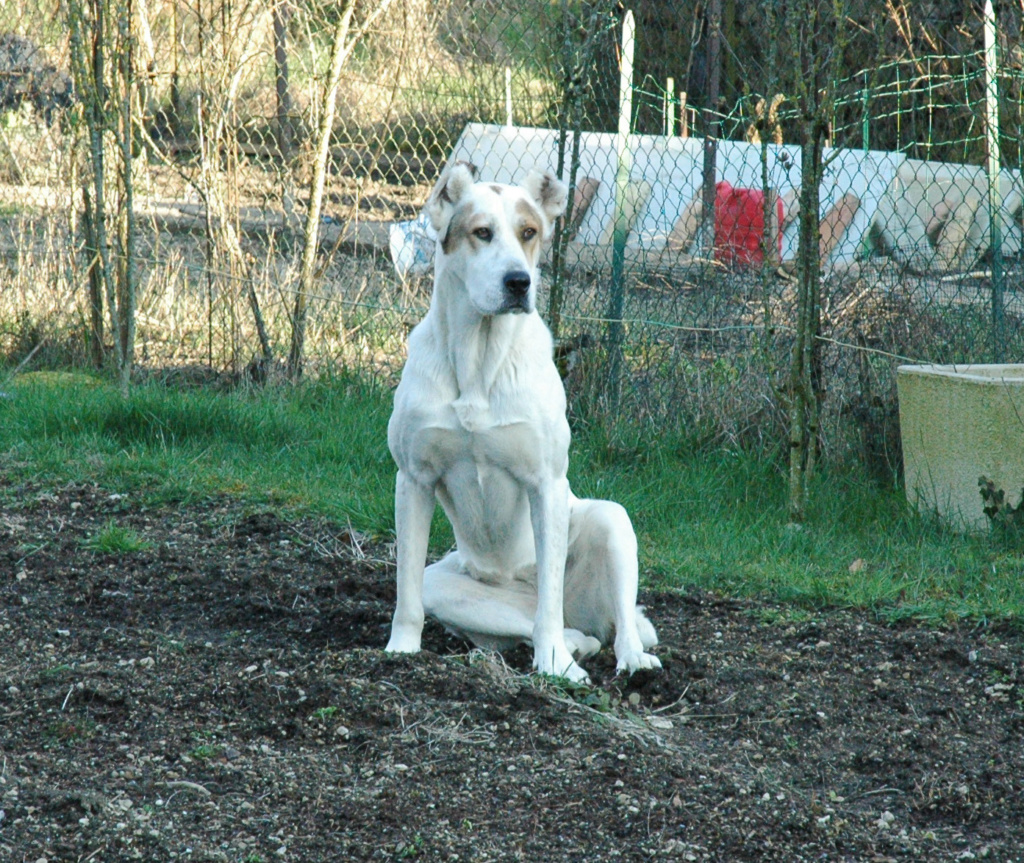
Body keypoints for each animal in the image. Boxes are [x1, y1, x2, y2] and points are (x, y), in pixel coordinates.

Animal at [382, 161, 655, 679]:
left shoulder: (545, 484)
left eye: (529, 233)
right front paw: (400, 651)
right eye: (481, 233)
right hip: (450, 586)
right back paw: (575, 644)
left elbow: (549, 597)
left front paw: (554, 665)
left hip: (612, 521)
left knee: (609, 622)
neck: (479, 359)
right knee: (538, 624)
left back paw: (625, 658)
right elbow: (405, 593)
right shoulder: (413, 480)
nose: (518, 282)